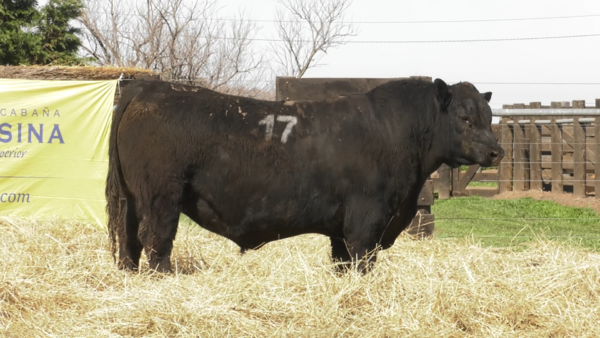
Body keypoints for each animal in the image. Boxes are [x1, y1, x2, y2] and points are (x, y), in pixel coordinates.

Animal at [106, 77, 502, 272]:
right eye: (465, 118)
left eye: (489, 116)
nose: (496, 152)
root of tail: (149, 88)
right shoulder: (367, 216)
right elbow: (362, 258)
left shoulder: (344, 227)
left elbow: (342, 261)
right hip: (161, 196)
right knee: (155, 239)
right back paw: (162, 276)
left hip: (131, 198)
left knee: (128, 239)